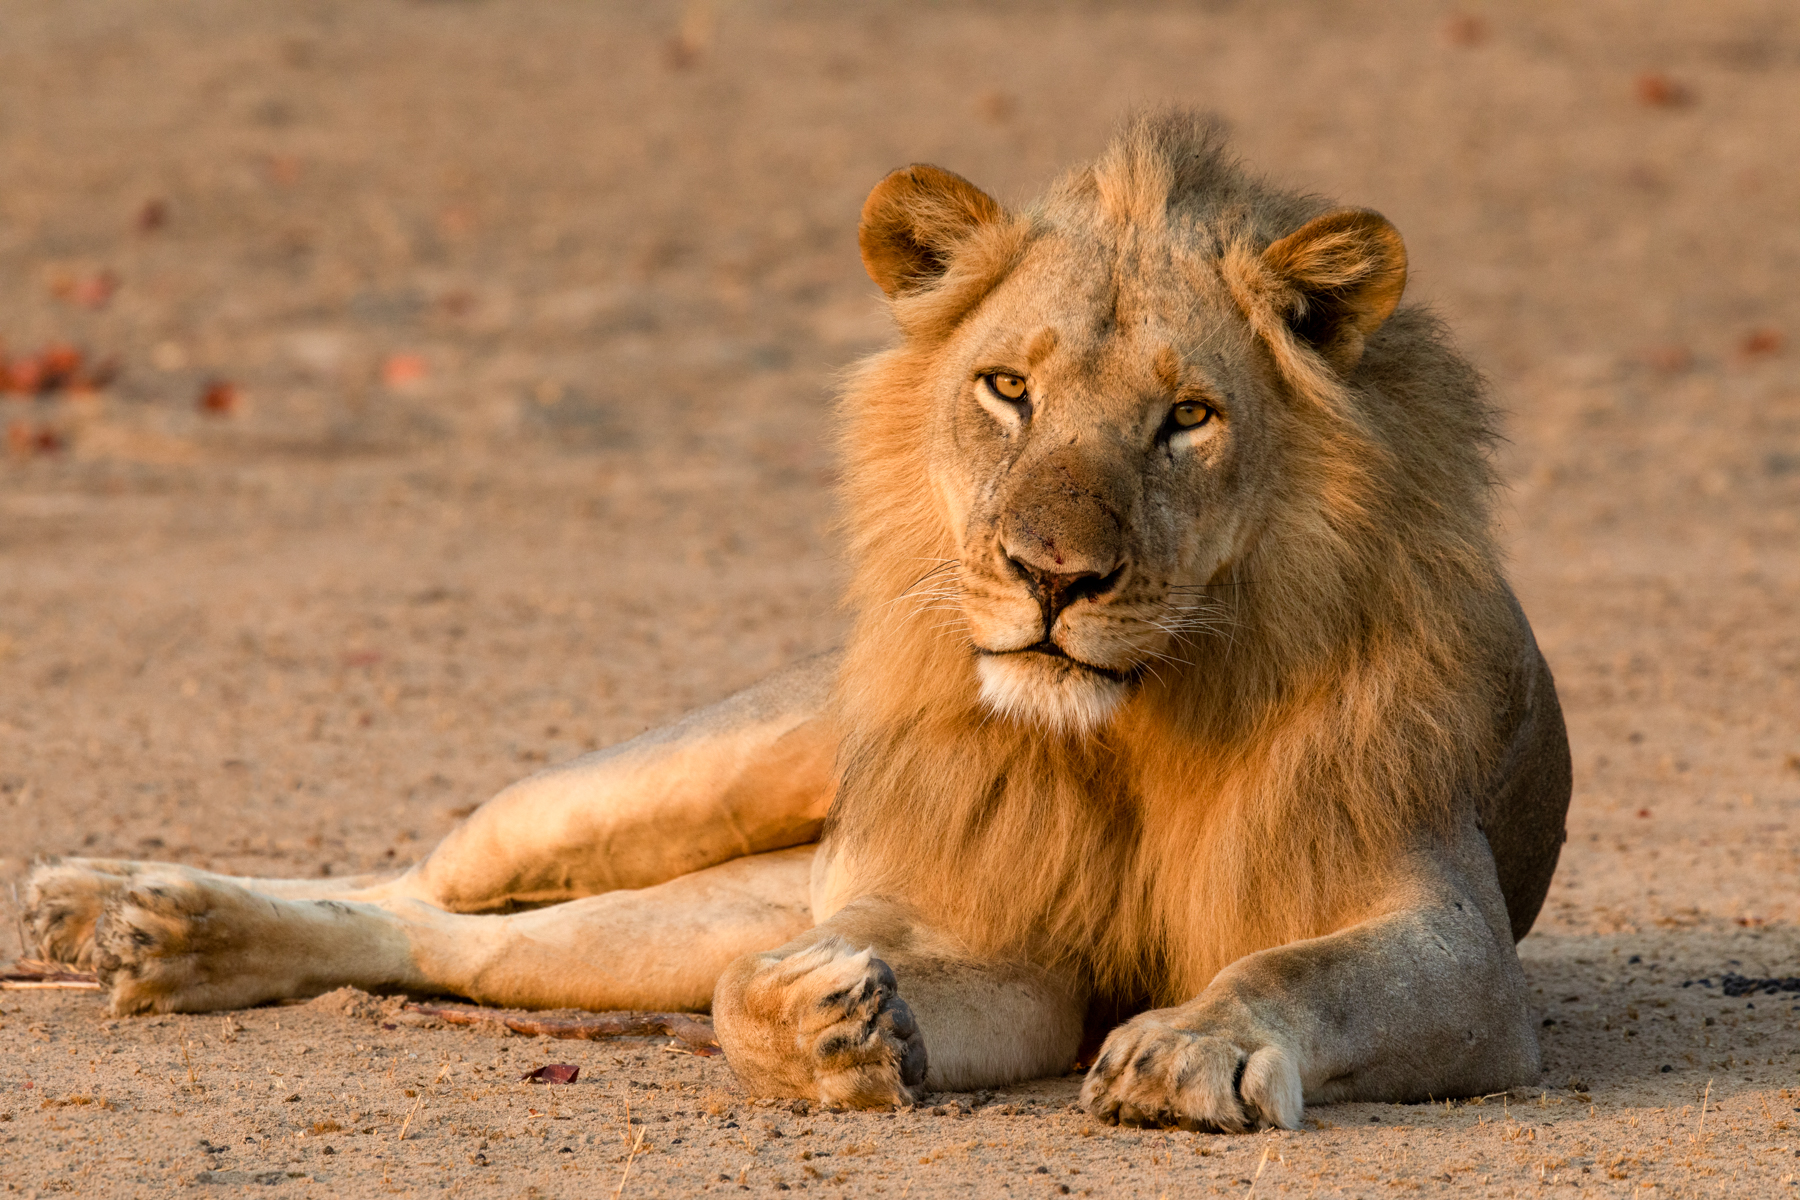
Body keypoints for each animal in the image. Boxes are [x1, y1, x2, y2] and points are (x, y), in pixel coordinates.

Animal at [22, 111, 1570, 1132]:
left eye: (1188, 418)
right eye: (1009, 388)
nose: (1051, 577)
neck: (1129, 728)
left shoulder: (1449, 942)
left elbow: (1304, 965)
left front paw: (1187, 1047)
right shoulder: (965, 919)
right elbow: (748, 995)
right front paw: (828, 1030)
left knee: (461, 945)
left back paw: (153, 938)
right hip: (666, 784)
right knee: (431, 878)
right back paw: (111, 907)